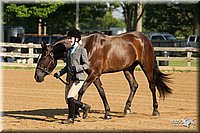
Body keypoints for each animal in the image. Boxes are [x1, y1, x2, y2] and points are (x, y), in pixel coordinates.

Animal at [34, 30, 172, 118]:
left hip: (146, 66)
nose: (37, 77)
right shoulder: (95, 75)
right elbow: (102, 92)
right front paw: (107, 113)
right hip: (128, 69)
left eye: (43, 58)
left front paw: (79, 112)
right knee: (134, 85)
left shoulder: (94, 74)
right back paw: (127, 109)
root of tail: (145, 39)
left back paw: (155, 110)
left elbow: (81, 91)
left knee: (152, 86)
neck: (87, 47)